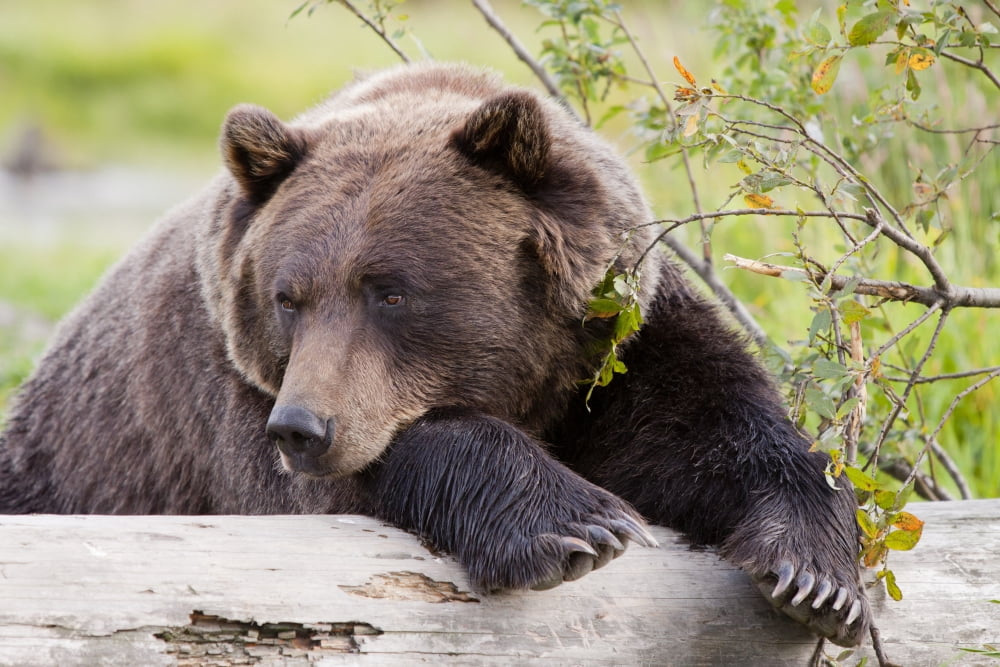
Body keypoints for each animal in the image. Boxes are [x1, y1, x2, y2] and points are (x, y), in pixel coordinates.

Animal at [0, 62, 870, 646]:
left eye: (389, 291)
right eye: (288, 297)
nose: (302, 427)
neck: (523, 386)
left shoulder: (616, 345)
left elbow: (710, 425)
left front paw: (817, 576)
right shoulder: (231, 398)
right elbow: (365, 470)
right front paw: (577, 523)